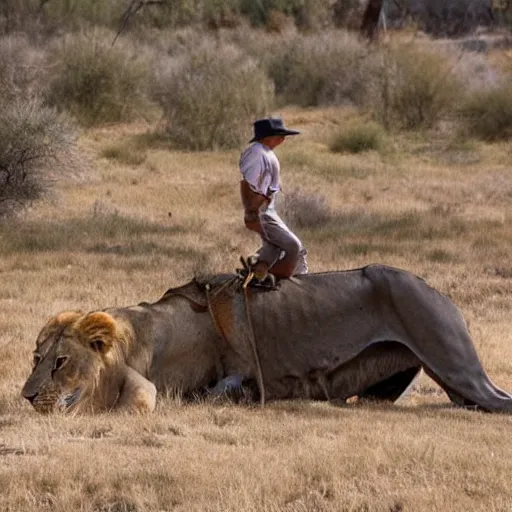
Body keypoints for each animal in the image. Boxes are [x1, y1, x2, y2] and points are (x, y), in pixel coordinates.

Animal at [22, 266, 512, 414]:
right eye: (36, 357)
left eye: (60, 362)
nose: (25, 396)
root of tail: (439, 292)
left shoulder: (236, 372)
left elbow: (222, 390)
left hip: (457, 367)